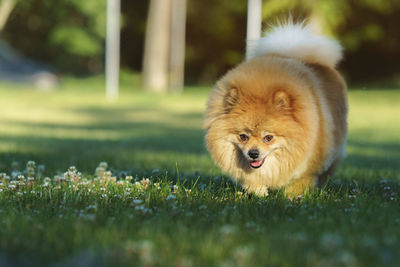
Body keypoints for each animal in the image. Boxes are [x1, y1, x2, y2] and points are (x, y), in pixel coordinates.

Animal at [203, 22, 346, 197]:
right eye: (243, 137)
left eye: (268, 138)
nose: (253, 153)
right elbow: (252, 180)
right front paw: (260, 194)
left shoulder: (308, 164)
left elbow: (299, 182)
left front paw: (292, 197)